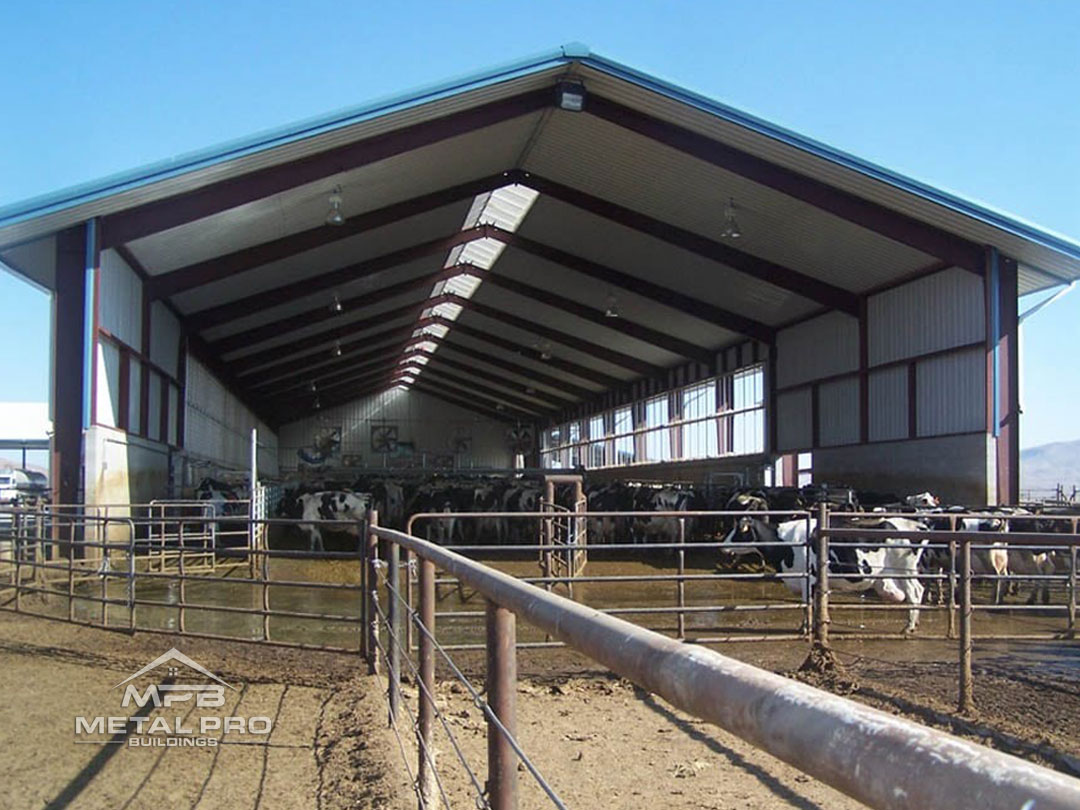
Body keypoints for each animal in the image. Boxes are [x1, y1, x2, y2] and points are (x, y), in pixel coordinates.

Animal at [717, 520, 928, 635]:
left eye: (738, 532)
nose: (722, 546)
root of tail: (917, 524)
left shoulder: (807, 580)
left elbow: (808, 604)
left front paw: (805, 628)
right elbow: (819, 604)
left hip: (904, 570)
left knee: (914, 593)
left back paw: (908, 627)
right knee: (919, 590)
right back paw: (914, 624)